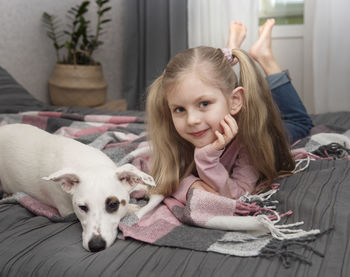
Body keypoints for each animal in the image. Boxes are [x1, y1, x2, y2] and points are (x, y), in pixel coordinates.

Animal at [0, 123, 154, 250]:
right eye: (82, 207)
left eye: (113, 204)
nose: (96, 246)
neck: (90, 165)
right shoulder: (66, 211)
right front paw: (132, 207)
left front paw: (143, 187)